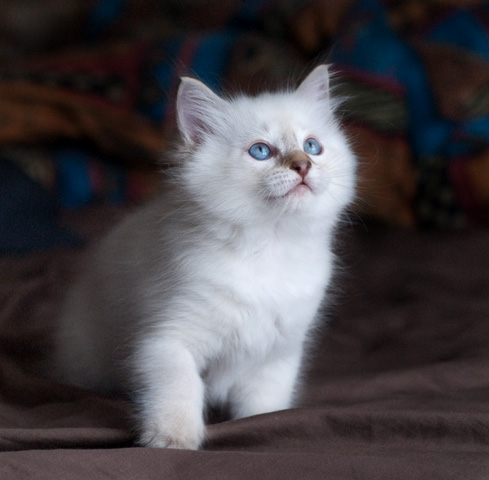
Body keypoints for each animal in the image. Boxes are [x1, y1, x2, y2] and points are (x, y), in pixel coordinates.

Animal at [55, 64, 356, 450]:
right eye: (261, 151)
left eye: (312, 147)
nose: (303, 166)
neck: (271, 244)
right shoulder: (166, 340)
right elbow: (181, 388)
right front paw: (172, 439)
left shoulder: (279, 354)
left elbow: (264, 408)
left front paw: (265, 428)